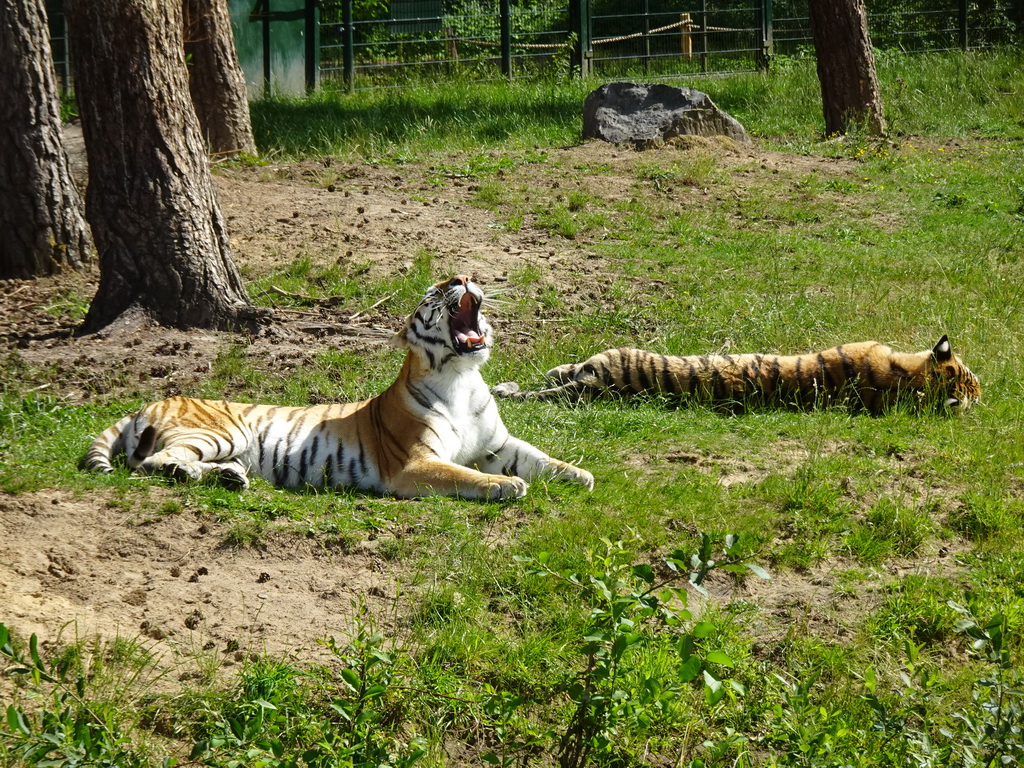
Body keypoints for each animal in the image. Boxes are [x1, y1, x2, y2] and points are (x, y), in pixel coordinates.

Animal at [84, 276, 598, 505]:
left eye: (457, 280)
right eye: (434, 294)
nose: (460, 276)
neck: (462, 379)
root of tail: (151, 399)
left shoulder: (496, 444)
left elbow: (539, 456)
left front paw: (580, 474)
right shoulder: (416, 463)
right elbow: (465, 475)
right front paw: (506, 485)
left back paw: (230, 477)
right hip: (219, 432)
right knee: (154, 462)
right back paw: (195, 475)